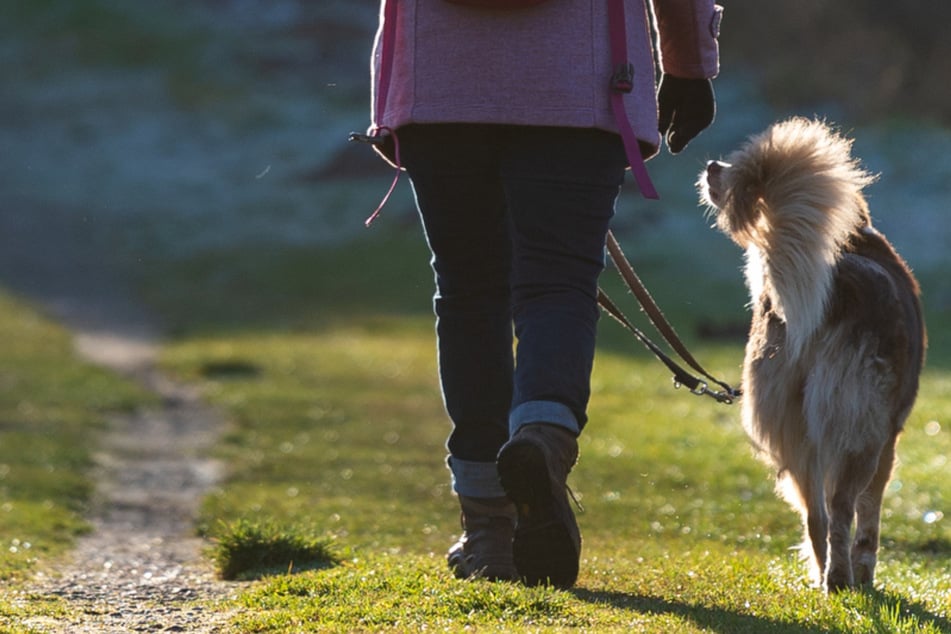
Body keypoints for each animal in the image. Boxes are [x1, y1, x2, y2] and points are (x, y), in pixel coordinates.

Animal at [696, 116, 924, 592]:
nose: (711, 165)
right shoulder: (888, 437)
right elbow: (870, 516)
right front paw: (865, 573)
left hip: (792, 428)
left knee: (815, 514)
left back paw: (823, 577)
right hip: (858, 429)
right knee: (840, 508)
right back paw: (841, 578)